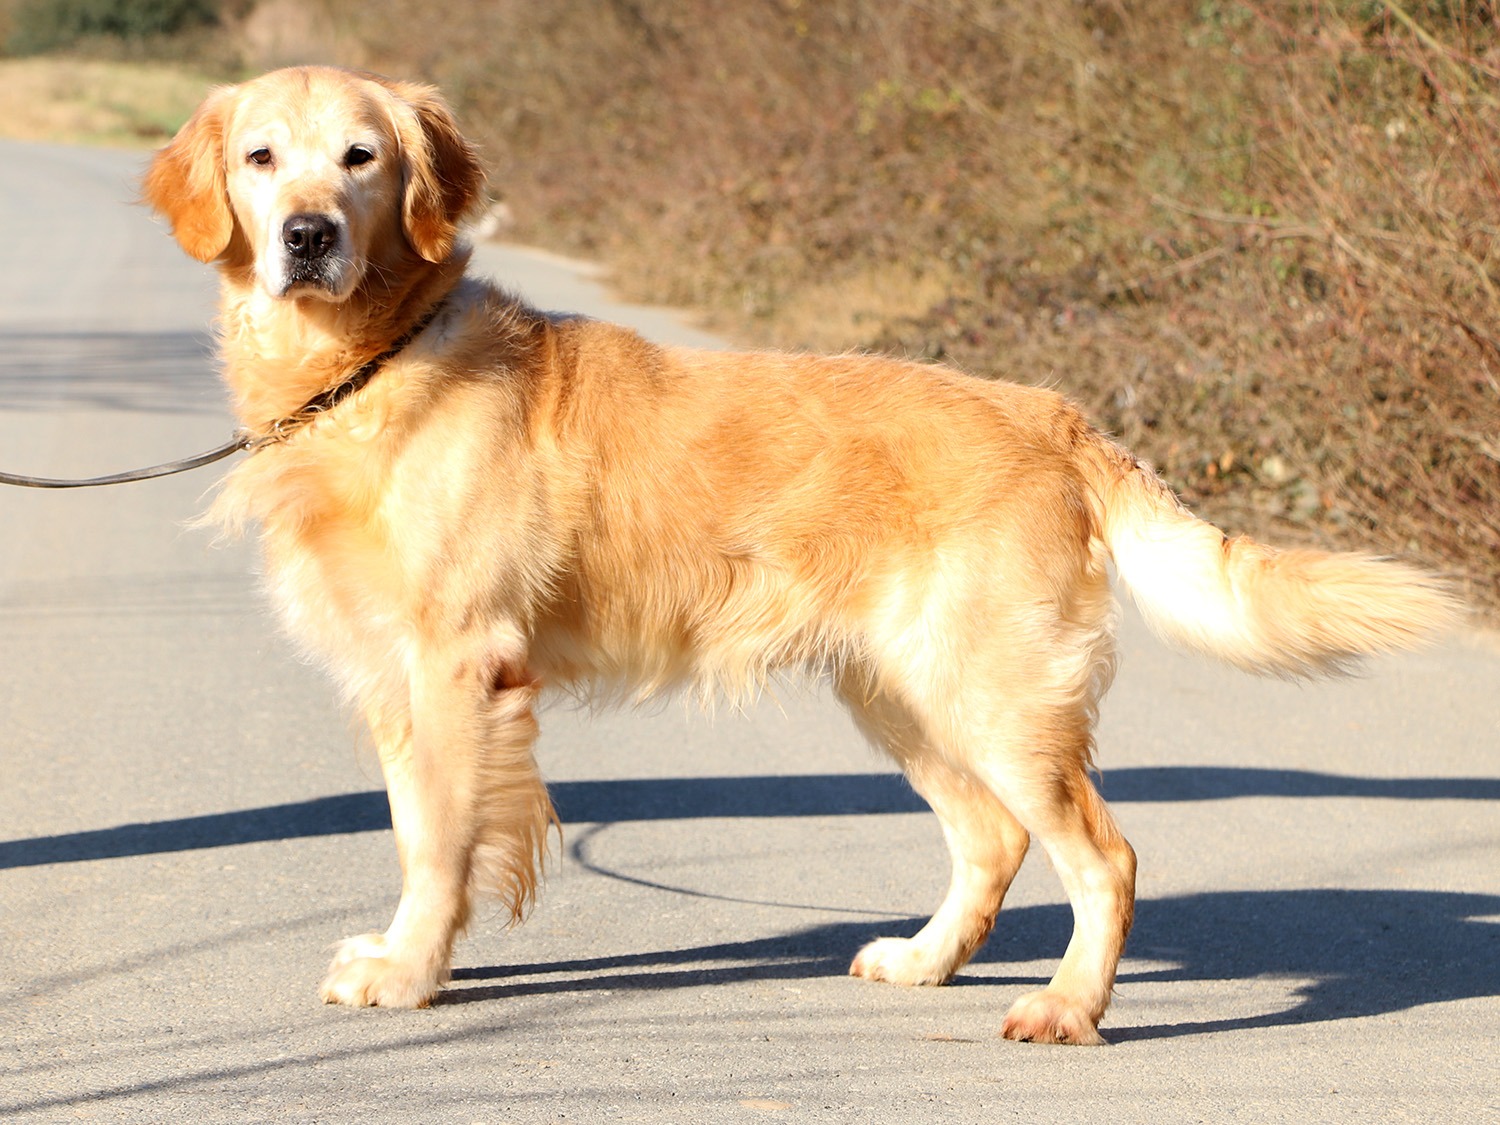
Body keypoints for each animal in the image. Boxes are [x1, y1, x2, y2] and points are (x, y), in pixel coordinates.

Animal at [143, 66, 1452, 1044]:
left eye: (361, 158)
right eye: (262, 159)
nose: (307, 236)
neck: (375, 360)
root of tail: (1053, 411)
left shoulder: (461, 667)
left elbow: (447, 845)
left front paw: (411, 973)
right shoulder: (398, 679)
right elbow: (421, 832)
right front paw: (414, 958)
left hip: (994, 697)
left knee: (1106, 858)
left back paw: (1068, 1007)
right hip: (901, 693)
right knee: (994, 841)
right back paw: (924, 961)